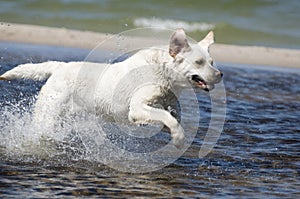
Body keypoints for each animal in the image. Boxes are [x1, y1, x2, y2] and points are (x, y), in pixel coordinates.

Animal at [0, 29, 223, 148]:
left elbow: (173, 115)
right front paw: (178, 138)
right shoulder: (137, 108)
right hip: (49, 114)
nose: (220, 74)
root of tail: (60, 66)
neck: (163, 72)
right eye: (199, 62)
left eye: (212, 62)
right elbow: (168, 118)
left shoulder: (167, 100)